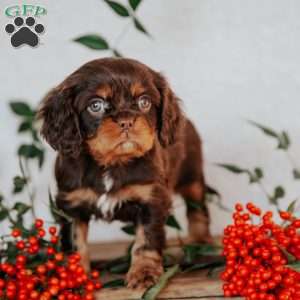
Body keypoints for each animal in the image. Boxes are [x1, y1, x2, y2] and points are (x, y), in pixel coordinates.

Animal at [38, 57, 211, 290]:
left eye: (144, 102)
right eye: (96, 105)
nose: (127, 121)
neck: (112, 163)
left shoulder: (151, 199)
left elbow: (146, 239)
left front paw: (144, 272)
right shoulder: (70, 204)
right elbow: (75, 242)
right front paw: (74, 275)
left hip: (192, 176)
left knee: (197, 208)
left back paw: (200, 240)